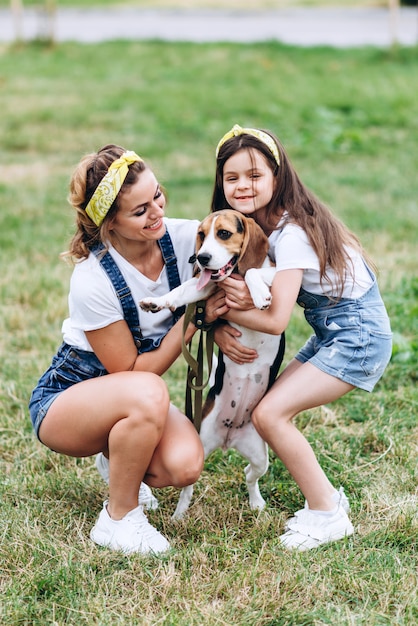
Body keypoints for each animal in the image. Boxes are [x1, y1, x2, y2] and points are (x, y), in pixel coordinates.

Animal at [140, 210, 284, 516]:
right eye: (201, 235)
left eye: (224, 234)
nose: (201, 258)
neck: (233, 273)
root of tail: (229, 441)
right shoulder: (205, 287)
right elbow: (182, 290)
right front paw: (157, 302)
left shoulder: (279, 273)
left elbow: (254, 271)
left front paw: (259, 294)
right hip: (200, 447)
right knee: (189, 487)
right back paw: (179, 515)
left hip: (260, 457)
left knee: (249, 475)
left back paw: (256, 504)